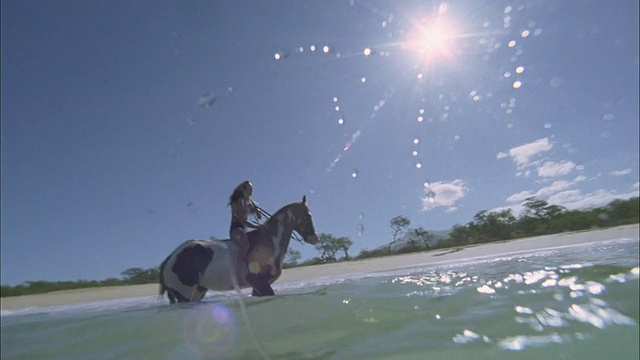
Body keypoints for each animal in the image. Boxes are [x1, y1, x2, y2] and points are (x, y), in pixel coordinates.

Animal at [158, 195, 318, 302]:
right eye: (307, 215)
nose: (314, 238)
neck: (269, 242)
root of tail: (169, 259)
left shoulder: (259, 286)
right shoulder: (260, 283)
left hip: (198, 291)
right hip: (184, 294)